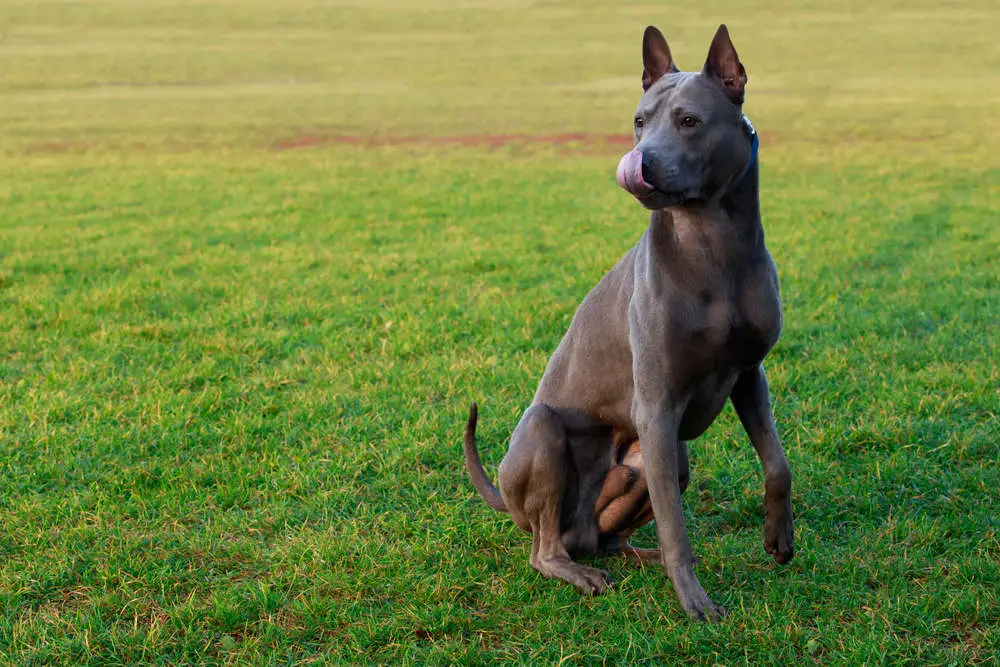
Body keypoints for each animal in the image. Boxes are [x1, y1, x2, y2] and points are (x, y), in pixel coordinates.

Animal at [462, 23, 796, 624]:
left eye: (689, 121)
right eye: (640, 120)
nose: (639, 160)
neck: (713, 244)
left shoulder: (749, 376)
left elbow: (777, 463)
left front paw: (779, 540)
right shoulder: (657, 407)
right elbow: (677, 529)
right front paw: (695, 602)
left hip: (662, 461)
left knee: (605, 539)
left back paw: (636, 557)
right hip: (547, 436)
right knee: (546, 549)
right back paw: (581, 572)